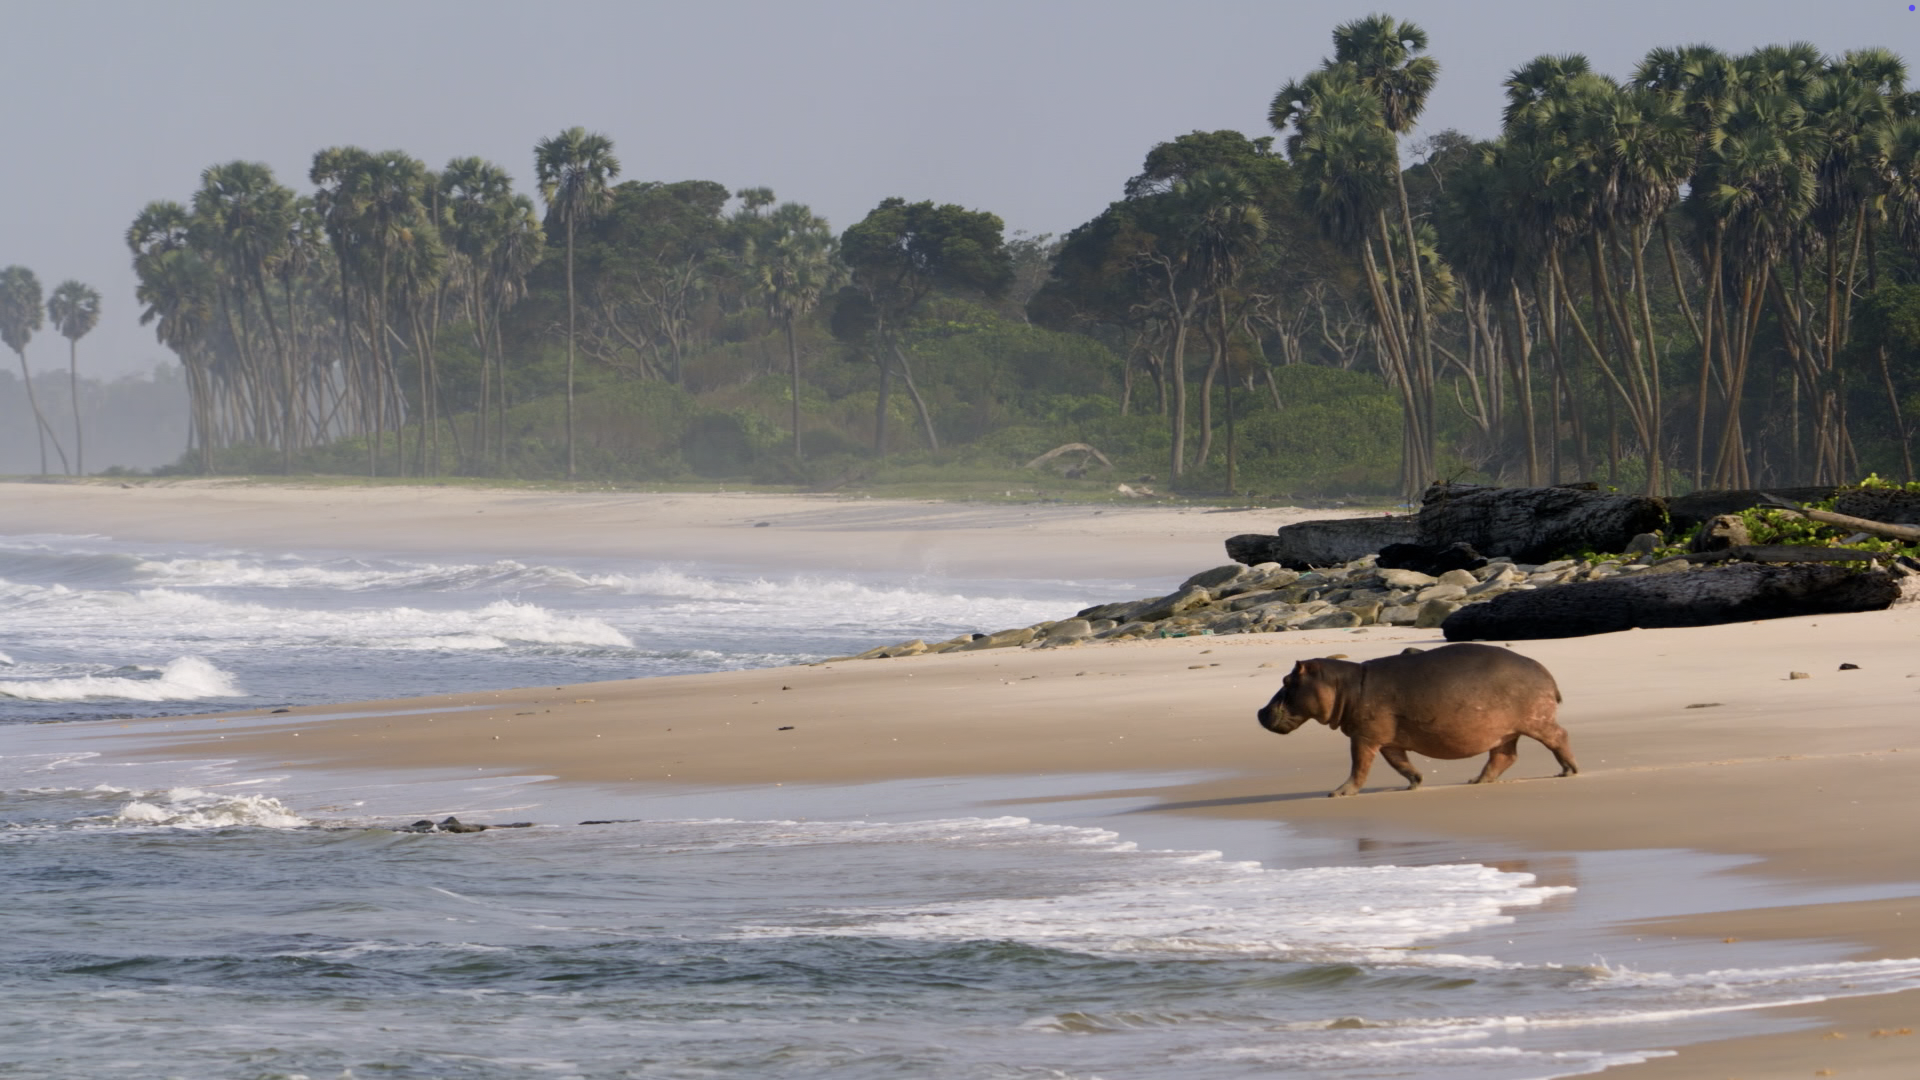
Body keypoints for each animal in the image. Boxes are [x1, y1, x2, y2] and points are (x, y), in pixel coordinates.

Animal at [1256, 642, 1577, 797]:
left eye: (1287, 681)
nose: (1260, 711)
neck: (1342, 685)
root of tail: (1544, 670)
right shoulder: (1387, 740)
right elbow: (1400, 764)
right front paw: (1415, 783)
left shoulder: (1363, 737)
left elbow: (1359, 767)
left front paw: (1338, 793)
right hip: (1505, 732)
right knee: (1504, 756)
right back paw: (1476, 780)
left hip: (1536, 721)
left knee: (1559, 737)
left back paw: (1568, 771)